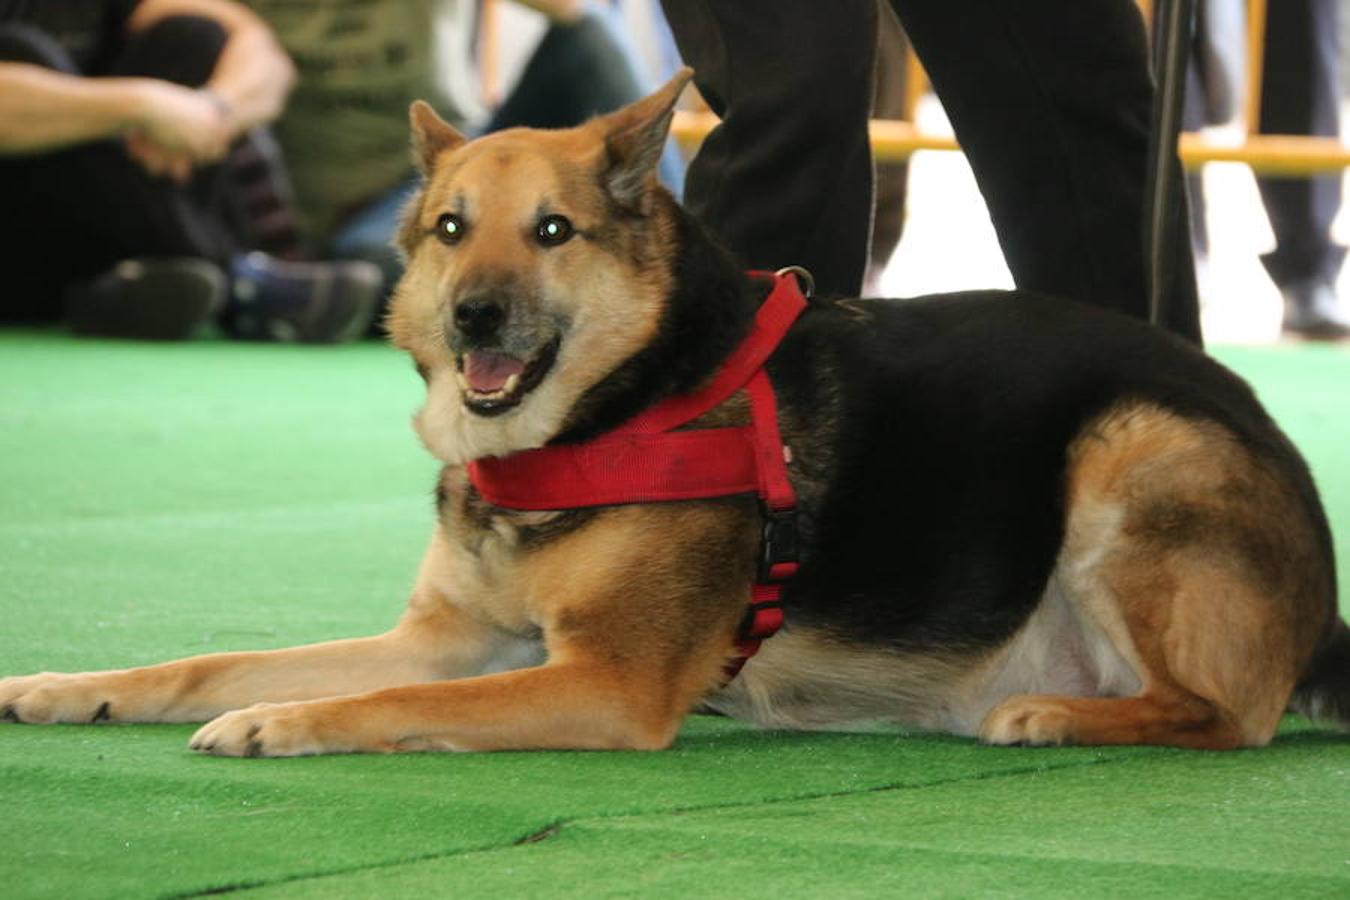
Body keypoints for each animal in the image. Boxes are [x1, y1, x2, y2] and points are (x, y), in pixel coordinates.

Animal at [2, 73, 1350, 755]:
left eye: (553, 230)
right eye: (450, 230)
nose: (475, 319)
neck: (611, 409)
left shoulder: (603, 683)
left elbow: (390, 707)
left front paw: (283, 719)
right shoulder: (454, 638)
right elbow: (205, 660)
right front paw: (77, 689)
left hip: (1132, 449)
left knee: (1226, 718)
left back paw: (1056, 717)